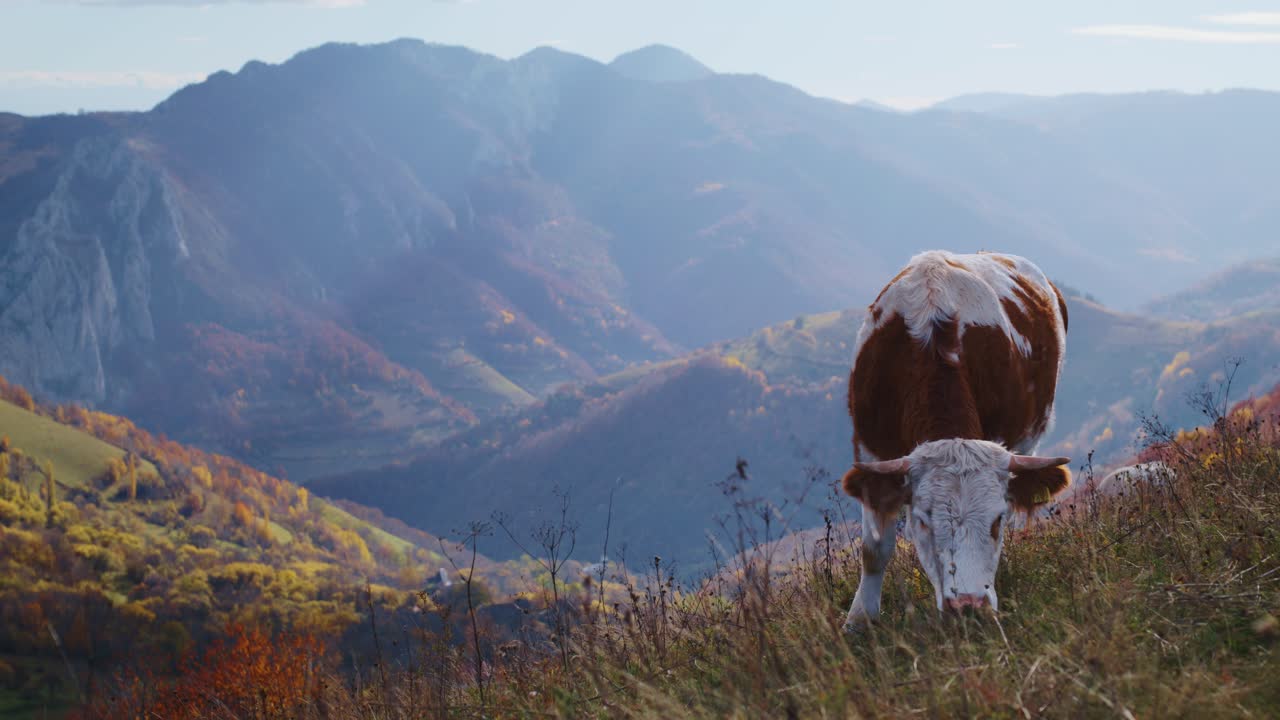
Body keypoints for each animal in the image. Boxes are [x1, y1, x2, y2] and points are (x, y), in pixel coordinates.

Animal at [841, 250, 1072, 629]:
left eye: (997, 520)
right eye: (922, 521)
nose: (968, 605)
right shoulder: (871, 451)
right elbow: (874, 548)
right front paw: (859, 620)